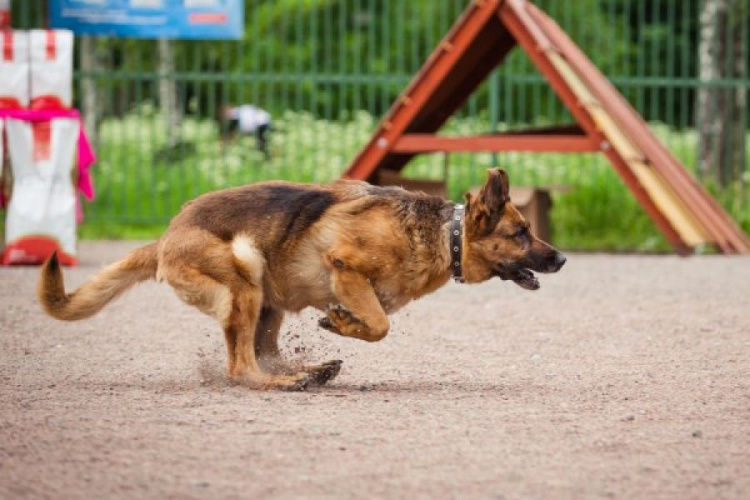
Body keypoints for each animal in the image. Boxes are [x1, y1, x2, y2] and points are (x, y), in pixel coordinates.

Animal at [38, 168, 568, 390]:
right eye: (521, 233)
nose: (562, 258)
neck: (444, 233)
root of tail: (168, 234)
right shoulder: (346, 267)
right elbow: (379, 325)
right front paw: (340, 323)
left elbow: (376, 321)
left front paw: (340, 326)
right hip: (246, 271)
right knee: (242, 367)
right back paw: (287, 381)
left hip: (267, 302)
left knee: (263, 352)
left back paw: (310, 371)